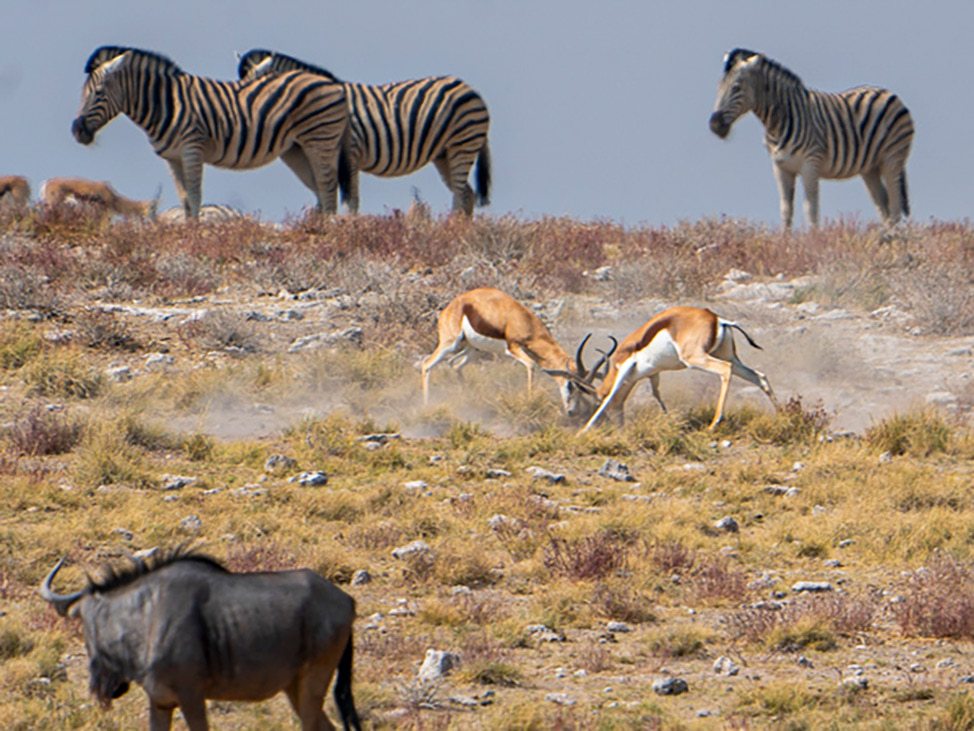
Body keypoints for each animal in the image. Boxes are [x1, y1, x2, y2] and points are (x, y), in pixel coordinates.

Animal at [72, 46, 349, 220]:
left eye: (98, 93)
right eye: (82, 93)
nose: (77, 131)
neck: (166, 103)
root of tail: (333, 84)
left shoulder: (192, 149)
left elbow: (195, 198)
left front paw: (195, 236)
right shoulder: (173, 158)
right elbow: (184, 200)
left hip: (320, 140)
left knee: (327, 187)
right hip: (296, 150)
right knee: (319, 188)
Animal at [237, 49, 491, 216]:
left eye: (255, 90)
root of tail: (472, 89)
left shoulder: (349, 154)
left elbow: (349, 199)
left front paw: (350, 227)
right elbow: (329, 192)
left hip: (462, 143)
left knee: (460, 193)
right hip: (443, 153)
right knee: (467, 194)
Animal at [421, 287, 615, 419]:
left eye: (584, 391)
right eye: (571, 385)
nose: (572, 411)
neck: (524, 321)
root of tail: (450, 307)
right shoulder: (513, 347)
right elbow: (531, 366)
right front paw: (530, 403)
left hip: (474, 349)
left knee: (454, 364)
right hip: (449, 343)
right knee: (426, 364)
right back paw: (426, 405)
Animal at [577, 306, 778, 433]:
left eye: (595, 401)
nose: (618, 424)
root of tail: (718, 320)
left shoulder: (625, 368)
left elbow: (611, 395)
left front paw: (582, 431)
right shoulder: (653, 372)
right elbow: (656, 393)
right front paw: (669, 419)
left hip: (697, 359)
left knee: (725, 370)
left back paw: (714, 423)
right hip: (729, 356)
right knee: (760, 377)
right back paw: (783, 415)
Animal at [710, 48, 914, 228]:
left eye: (736, 87)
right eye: (719, 86)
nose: (714, 124)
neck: (778, 122)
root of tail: (888, 92)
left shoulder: (810, 165)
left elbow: (811, 209)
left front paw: (814, 241)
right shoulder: (780, 167)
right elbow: (786, 210)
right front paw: (785, 241)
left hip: (892, 158)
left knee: (895, 205)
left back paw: (894, 241)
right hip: (870, 168)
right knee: (884, 206)